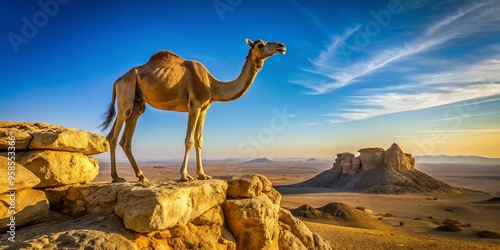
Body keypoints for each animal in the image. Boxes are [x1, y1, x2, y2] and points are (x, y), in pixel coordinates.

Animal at [100, 39, 288, 182]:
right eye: (260, 45)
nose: (281, 46)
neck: (212, 84)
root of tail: (116, 81)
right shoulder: (195, 105)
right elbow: (189, 140)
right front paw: (184, 175)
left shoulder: (204, 108)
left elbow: (199, 141)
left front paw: (202, 174)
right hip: (126, 96)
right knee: (114, 137)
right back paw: (116, 177)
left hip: (137, 104)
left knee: (123, 139)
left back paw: (141, 176)